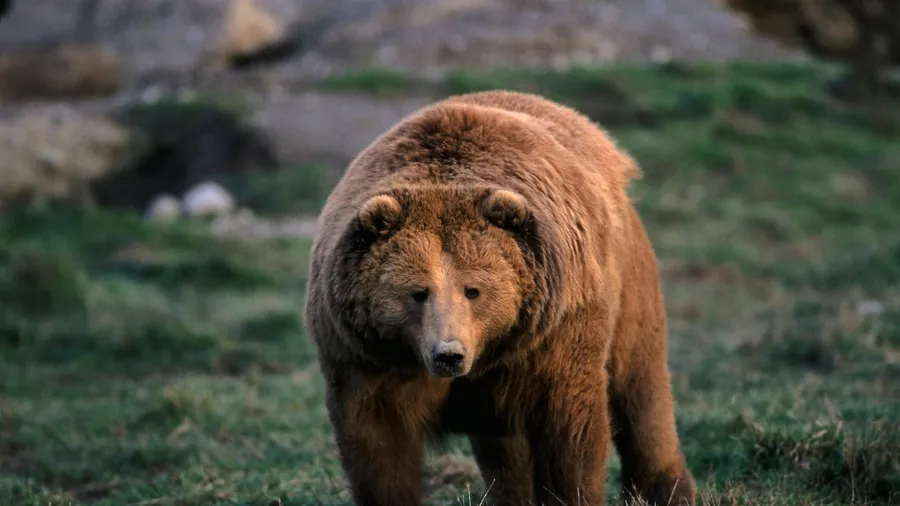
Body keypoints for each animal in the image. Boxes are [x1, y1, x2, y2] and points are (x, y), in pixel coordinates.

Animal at [303, 89, 696, 506]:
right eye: (417, 292)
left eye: (473, 289)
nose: (449, 354)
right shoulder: (366, 357)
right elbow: (378, 448)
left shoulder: (555, 338)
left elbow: (571, 433)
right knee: (506, 452)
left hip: (628, 280)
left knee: (641, 390)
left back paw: (668, 489)